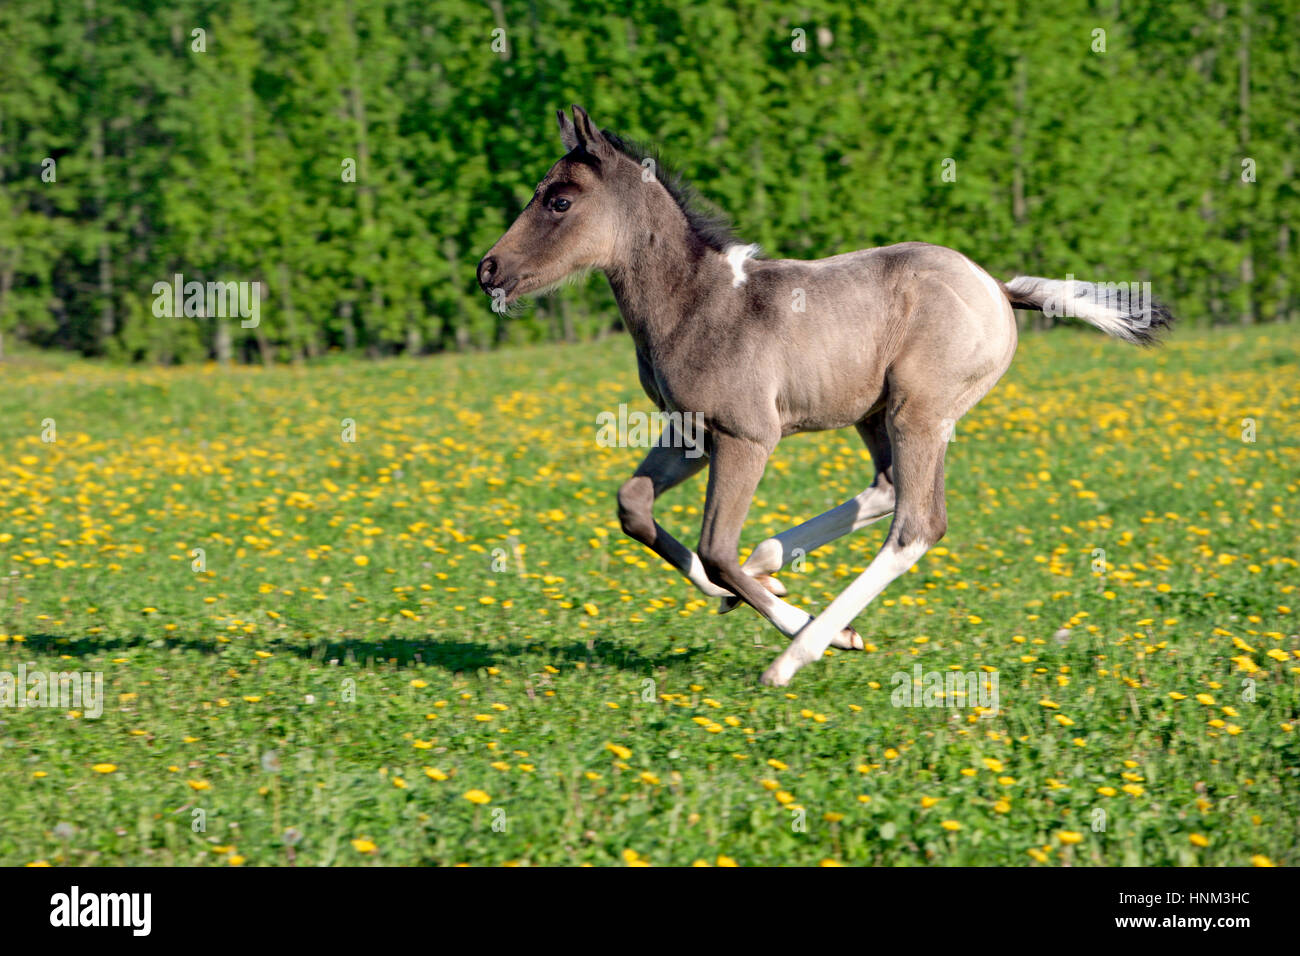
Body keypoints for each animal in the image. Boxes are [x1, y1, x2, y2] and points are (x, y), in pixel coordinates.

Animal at [480, 106, 1180, 686]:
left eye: (560, 200)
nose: (488, 270)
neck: (696, 303)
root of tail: (999, 290)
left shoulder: (747, 436)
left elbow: (715, 548)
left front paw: (809, 629)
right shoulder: (692, 433)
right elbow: (634, 507)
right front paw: (736, 594)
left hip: (919, 413)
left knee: (916, 524)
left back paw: (801, 650)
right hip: (876, 415)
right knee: (886, 490)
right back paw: (773, 564)